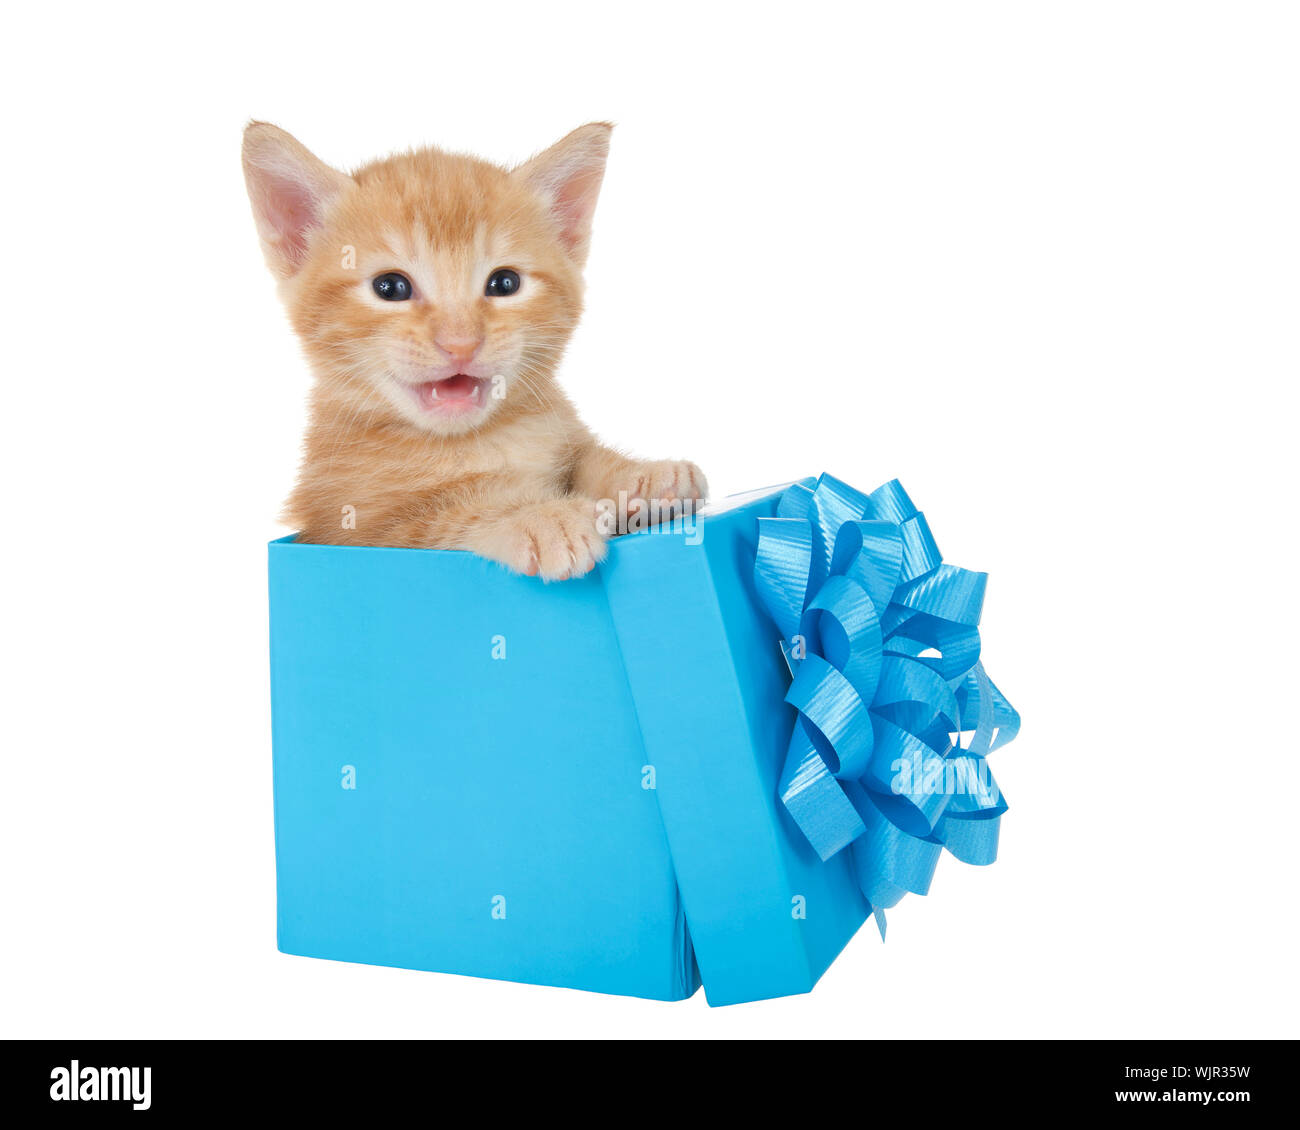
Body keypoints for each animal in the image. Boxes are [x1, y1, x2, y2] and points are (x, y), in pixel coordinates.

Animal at [246, 123, 707, 577]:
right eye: (389, 287)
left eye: (505, 283)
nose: (460, 343)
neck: (479, 439)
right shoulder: (352, 526)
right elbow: (443, 510)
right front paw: (539, 516)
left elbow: (581, 458)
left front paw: (641, 476)